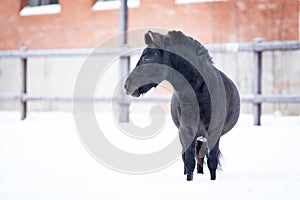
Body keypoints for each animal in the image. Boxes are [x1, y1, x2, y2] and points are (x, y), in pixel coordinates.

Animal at [123, 30, 239, 181]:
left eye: (146, 58)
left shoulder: (214, 132)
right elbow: (189, 162)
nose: (127, 85)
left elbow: (212, 162)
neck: (200, 93)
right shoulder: (186, 131)